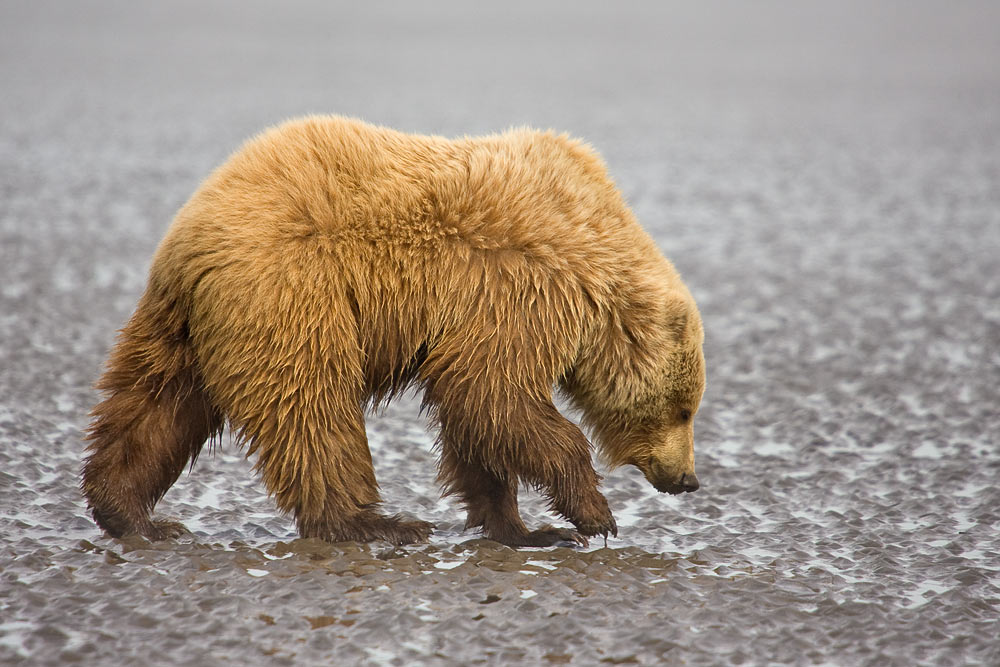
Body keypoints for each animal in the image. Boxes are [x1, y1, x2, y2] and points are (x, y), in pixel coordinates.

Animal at [80, 116, 704, 548]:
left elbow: (476, 421)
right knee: (312, 408)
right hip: (293, 294)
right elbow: (491, 393)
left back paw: (131, 514)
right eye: (685, 409)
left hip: (185, 325)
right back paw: (375, 523)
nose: (688, 479)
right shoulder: (520, 285)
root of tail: (190, 238)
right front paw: (593, 515)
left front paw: (522, 527)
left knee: (152, 407)